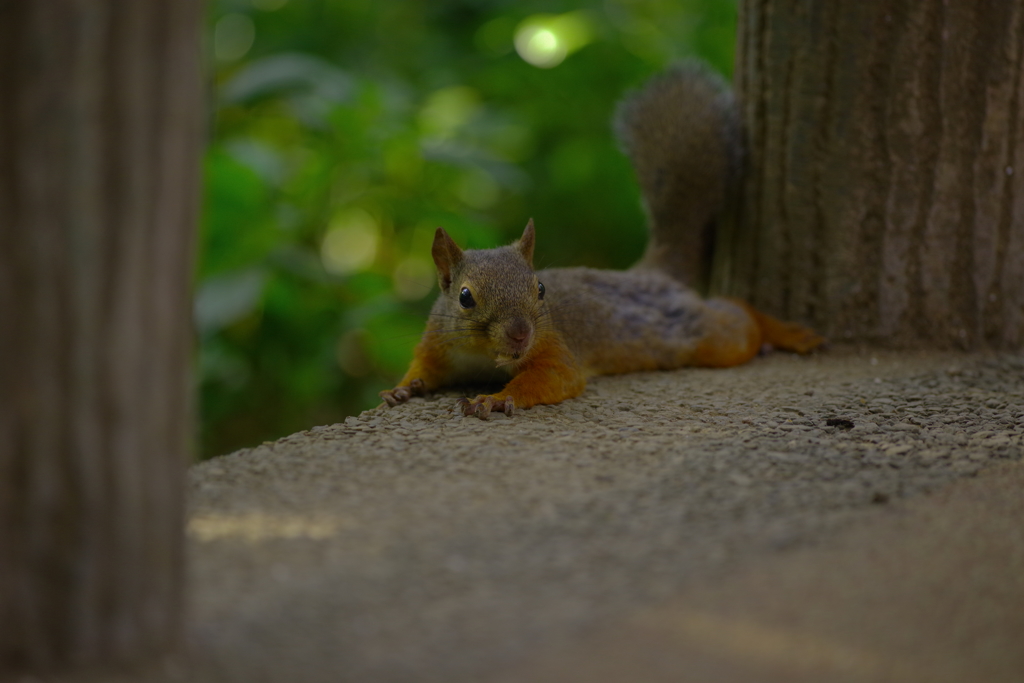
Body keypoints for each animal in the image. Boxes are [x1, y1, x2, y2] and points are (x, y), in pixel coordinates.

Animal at [378, 61, 823, 419]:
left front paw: (495, 398)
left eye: (541, 289)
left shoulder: (555, 348)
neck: (482, 355)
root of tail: (652, 276)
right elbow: (423, 369)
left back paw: (786, 333)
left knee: (738, 316)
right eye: (465, 297)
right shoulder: (436, 343)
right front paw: (402, 389)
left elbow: (551, 378)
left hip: (708, 336)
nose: (521, 334)